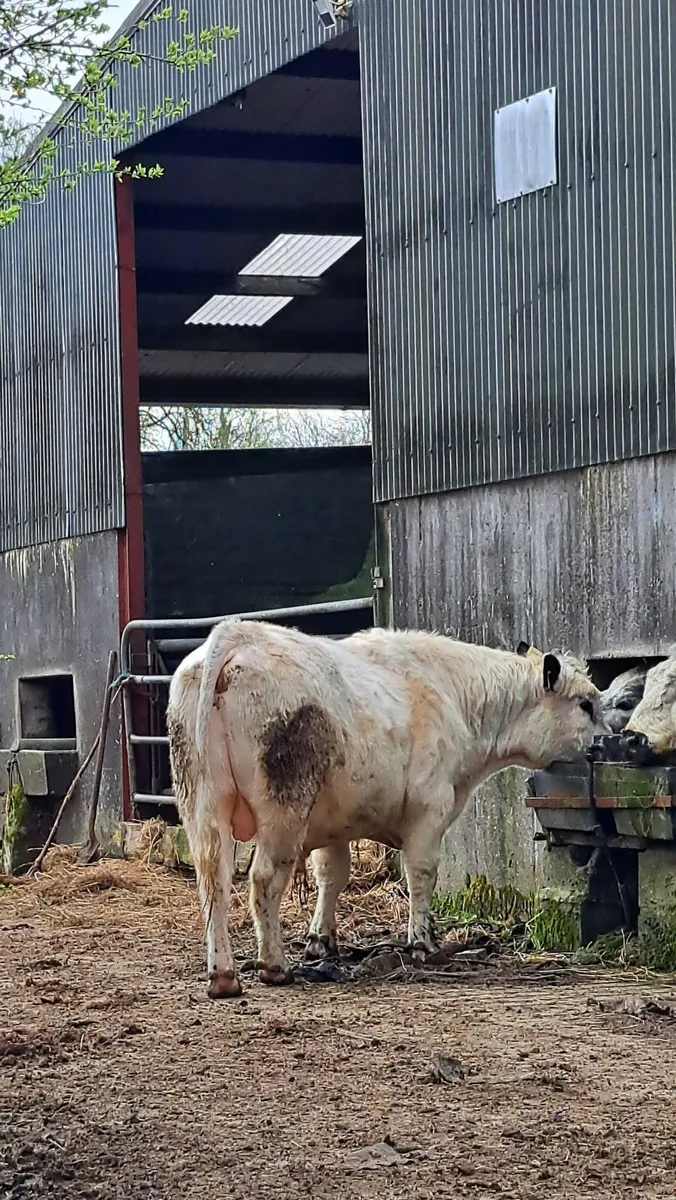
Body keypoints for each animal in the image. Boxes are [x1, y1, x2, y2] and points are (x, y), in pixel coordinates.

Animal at [167, 620, 607, 998]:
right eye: (586, 704)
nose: (610, 738)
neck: (453, 695)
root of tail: (239, 633)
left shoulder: (334, 824)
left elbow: (332, 876)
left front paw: (320, 940)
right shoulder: (430, 812)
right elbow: (421, 875)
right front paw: (422, 942)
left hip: (200, 803)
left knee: (213, 879)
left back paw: (223, 975)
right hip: (283, 810)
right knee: (263, 879)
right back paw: (274, 965)